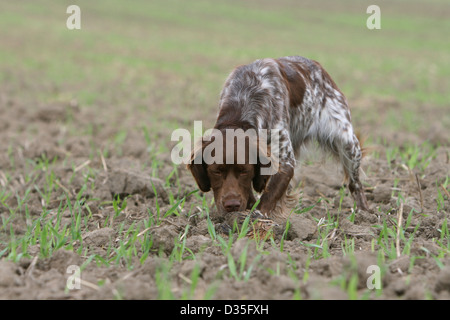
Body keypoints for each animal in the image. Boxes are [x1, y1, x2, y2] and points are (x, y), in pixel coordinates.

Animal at [188, 55, 368, 220]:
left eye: (244, 171)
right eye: (216, 171)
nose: (232, 205)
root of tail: (318, 66)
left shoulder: (285, 160)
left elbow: (270, 194)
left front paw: (257, 218)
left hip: (348, 143)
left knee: (355, 183)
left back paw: (364, 213)